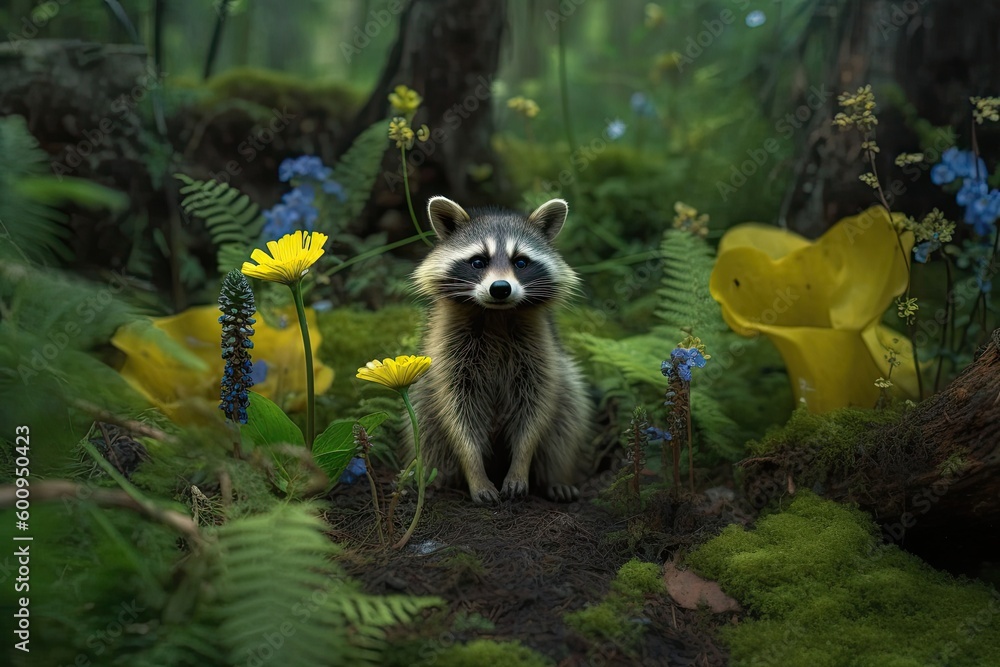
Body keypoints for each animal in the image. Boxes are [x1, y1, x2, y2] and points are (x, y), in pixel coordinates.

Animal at [409, 196, 592, 504]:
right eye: (478, 261)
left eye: (521, 262)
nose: (500, 288)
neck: (496, 315)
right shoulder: (449, 353)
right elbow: (456, 414)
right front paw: (474, 471)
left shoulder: (540, 350)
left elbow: (537, 410)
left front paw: (520, 466)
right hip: (423, 394)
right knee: (427, 428)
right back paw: (438, 480)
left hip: (566, 383)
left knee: (566, 417)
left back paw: (555, 478)